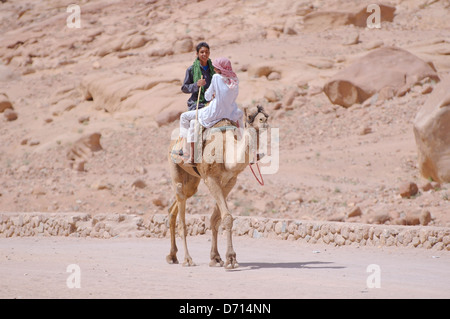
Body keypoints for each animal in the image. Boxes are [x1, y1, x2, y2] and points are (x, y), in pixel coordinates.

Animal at [166, 105, 268, 270]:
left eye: (266, 115)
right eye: (250, 116)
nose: (264, 121)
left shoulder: (230, 181)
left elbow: (217, 218)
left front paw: (216, 258)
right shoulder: (210, 178)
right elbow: (226, 216)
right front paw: (230, 259)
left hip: (193, 181)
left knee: (177, 203)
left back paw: (172, 256)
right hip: (174, 166)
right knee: (181, 205)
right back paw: (187, 259)